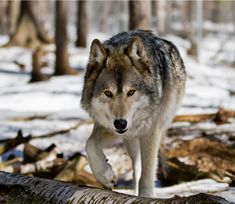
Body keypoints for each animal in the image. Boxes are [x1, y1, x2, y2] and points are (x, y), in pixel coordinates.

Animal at [80, 29, 185, 197]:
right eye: (108, 93)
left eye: (131, 92)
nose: (120, 123)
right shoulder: (111, 127)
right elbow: (89, 144)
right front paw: (105, 176)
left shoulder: (150, 132)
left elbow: (147, 174)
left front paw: (146, 197)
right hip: (130, 141)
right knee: (136, 169)